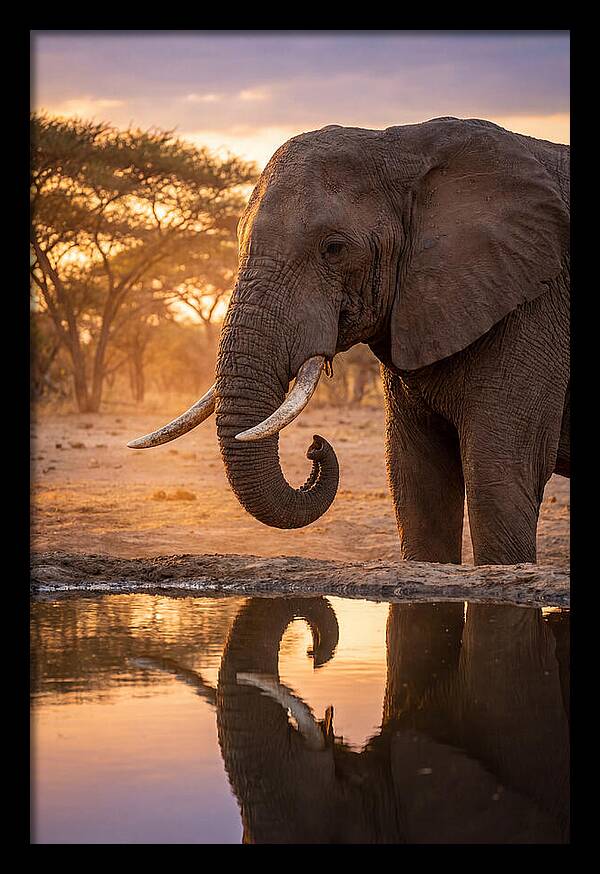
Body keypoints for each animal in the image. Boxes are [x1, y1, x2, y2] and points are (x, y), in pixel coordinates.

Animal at [129, 117, 570, 566]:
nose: (315, 446)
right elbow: (416, 481)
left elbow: (498, 477)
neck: (404, 145)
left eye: (334, 248)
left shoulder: (533, 305)